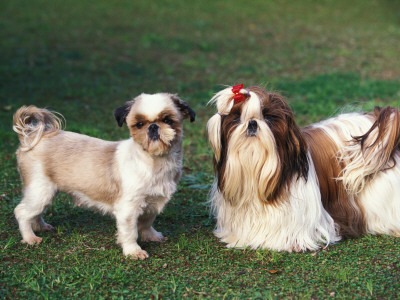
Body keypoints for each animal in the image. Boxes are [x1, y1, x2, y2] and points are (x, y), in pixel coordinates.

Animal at [11, 92, 195, 258]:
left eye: (168, 120)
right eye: (139, 124)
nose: (153, 126)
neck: (154, 162)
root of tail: (31, 135)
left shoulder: (152, 202)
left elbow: (146, 223)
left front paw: (150, 236)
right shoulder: (128, 208)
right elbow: (130, 231)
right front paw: (133, 251)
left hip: (45, 192)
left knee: (35, 213)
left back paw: (39, 227)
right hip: (40, 190)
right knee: (22, 212)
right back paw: (30, 237)